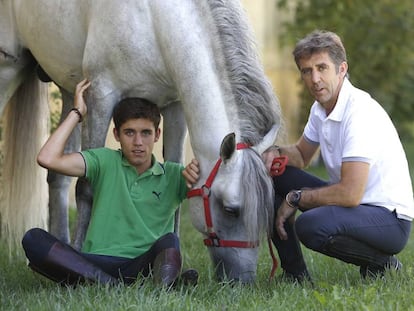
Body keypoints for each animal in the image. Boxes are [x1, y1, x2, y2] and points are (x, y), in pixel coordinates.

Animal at [0, 0, 282, 282]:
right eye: (231, 209)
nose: (243, 279)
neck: (153, 20)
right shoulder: (100, 96)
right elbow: (86, 188)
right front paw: (82, 251)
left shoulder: (174, 106)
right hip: (9, 71)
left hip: (68, 89)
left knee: (58, 178)